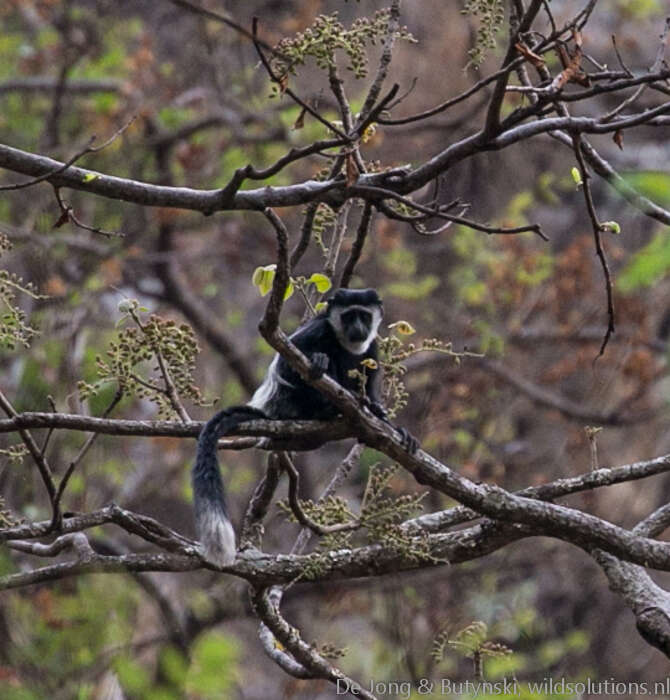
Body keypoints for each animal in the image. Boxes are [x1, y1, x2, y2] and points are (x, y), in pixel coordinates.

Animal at [192, 288, 418, 568]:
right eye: (349, 316)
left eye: (364, 316)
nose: (357, 328)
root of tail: (270, 410)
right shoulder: (317, 330)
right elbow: (288, 363)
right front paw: (321, 365)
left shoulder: (373, 349)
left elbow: (373, 387)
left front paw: (389, 422)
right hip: (292, 400)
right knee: (319, 365)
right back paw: (330, 403)